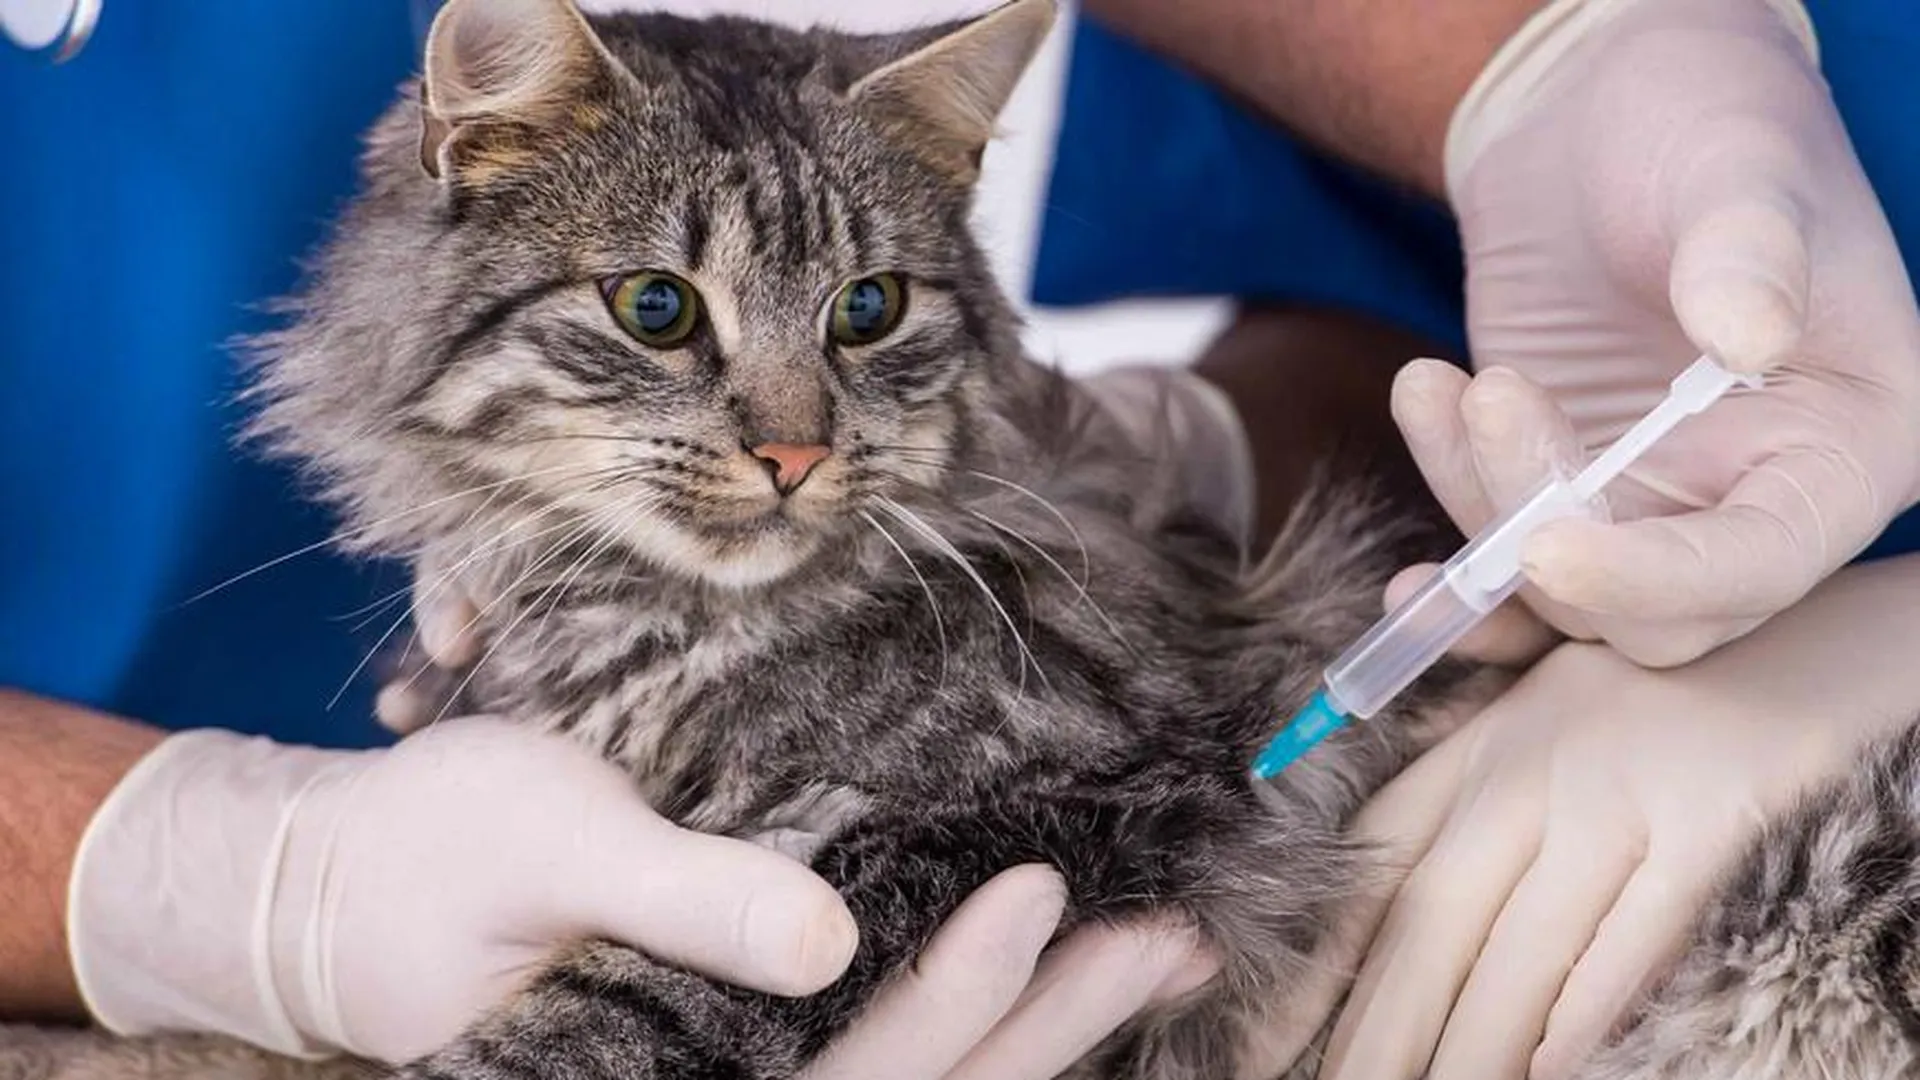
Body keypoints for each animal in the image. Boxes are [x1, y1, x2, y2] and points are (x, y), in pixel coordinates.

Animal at [5, 2, 1920, 1079]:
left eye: (867, 310)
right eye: (654, 308)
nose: (791, 453)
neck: (667, 626)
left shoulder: (1044, 801)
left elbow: (646, 992)